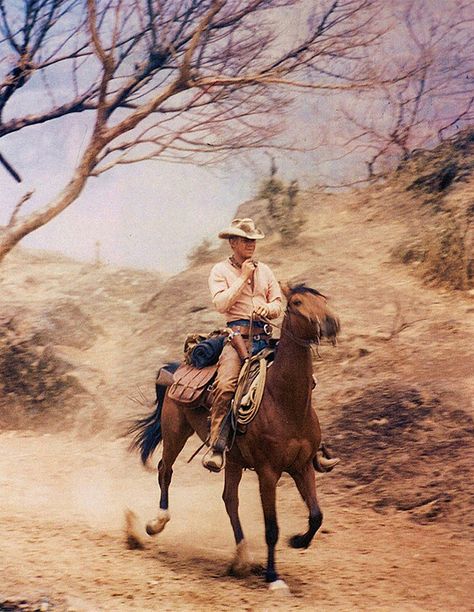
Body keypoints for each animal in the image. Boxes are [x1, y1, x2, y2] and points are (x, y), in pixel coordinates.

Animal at [127, 284, 340, 592]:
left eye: (323, 300)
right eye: (298, 302)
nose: (331, 323)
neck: (284, 401)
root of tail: (174, 367)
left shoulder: (302, 466)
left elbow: (316, 515)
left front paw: (298, 541)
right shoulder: (268, 472)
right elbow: (271, 528)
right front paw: (273, 577)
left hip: (234, 459)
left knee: (229, 499)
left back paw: (242, 558)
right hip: (175, 432)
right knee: (165, 470)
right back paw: (157, 522)